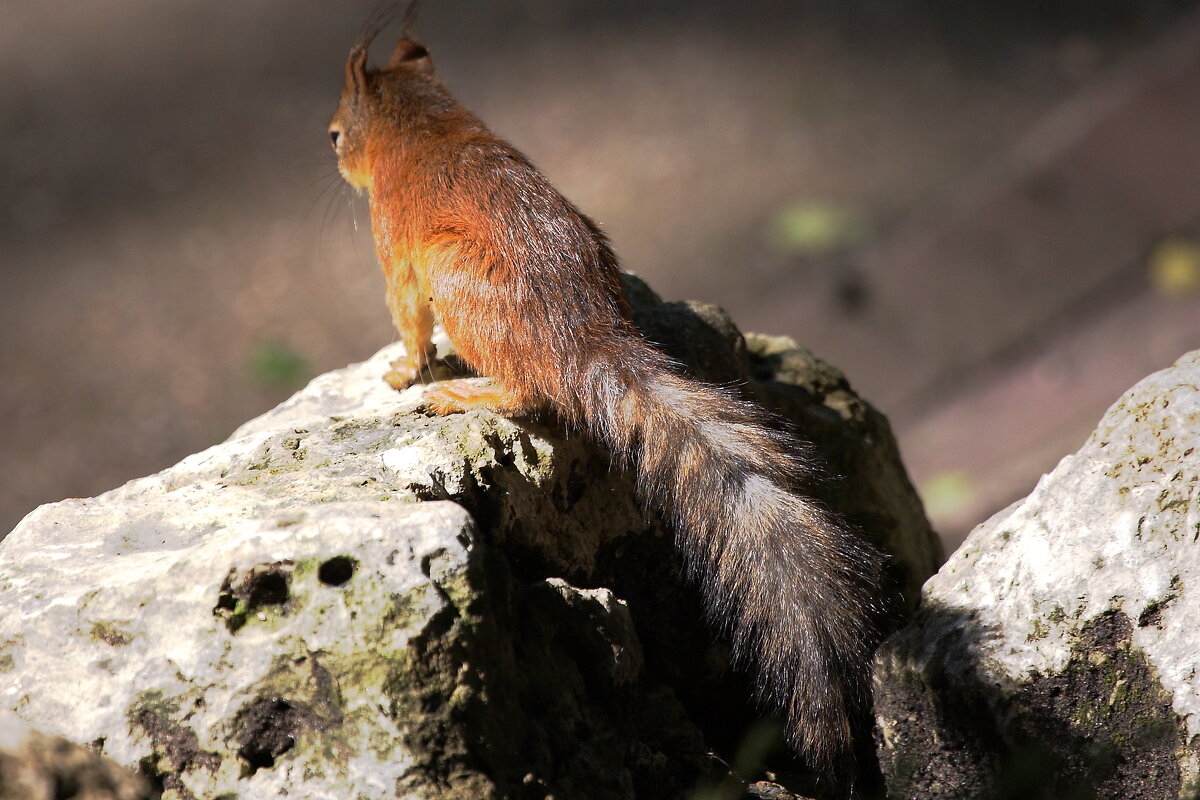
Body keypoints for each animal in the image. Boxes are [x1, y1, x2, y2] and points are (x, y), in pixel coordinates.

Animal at [326, 3, 883, 786]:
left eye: (336, 133)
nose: (336, 160)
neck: (425, 121)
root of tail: (582, 339)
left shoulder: (395, 252)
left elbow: (406, 321)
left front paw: (406, 373)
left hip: (454, 278)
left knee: (528, 393)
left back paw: (463, 393)